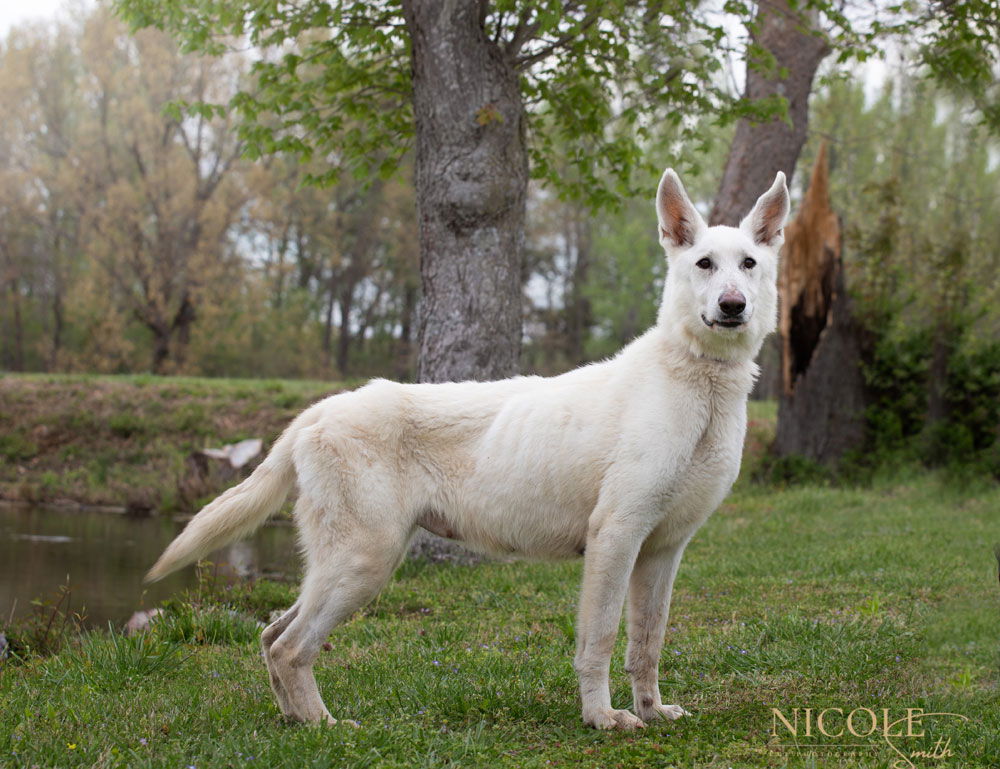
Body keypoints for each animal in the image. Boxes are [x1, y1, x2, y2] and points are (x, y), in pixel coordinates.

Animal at [146, 168, 788, 732]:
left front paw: (652, 713)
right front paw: (602, 718)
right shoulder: (616, 537)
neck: (698, 384)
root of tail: (315, 413)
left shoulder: (663, 551)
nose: (733, 306)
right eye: (703, 264)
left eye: (749, 265)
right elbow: (601, 639)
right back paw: (325, 727)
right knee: (290, 648)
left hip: (344, 565)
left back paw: (294, 721)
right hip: (363, 561)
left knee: (270, 635)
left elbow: (647, 643)